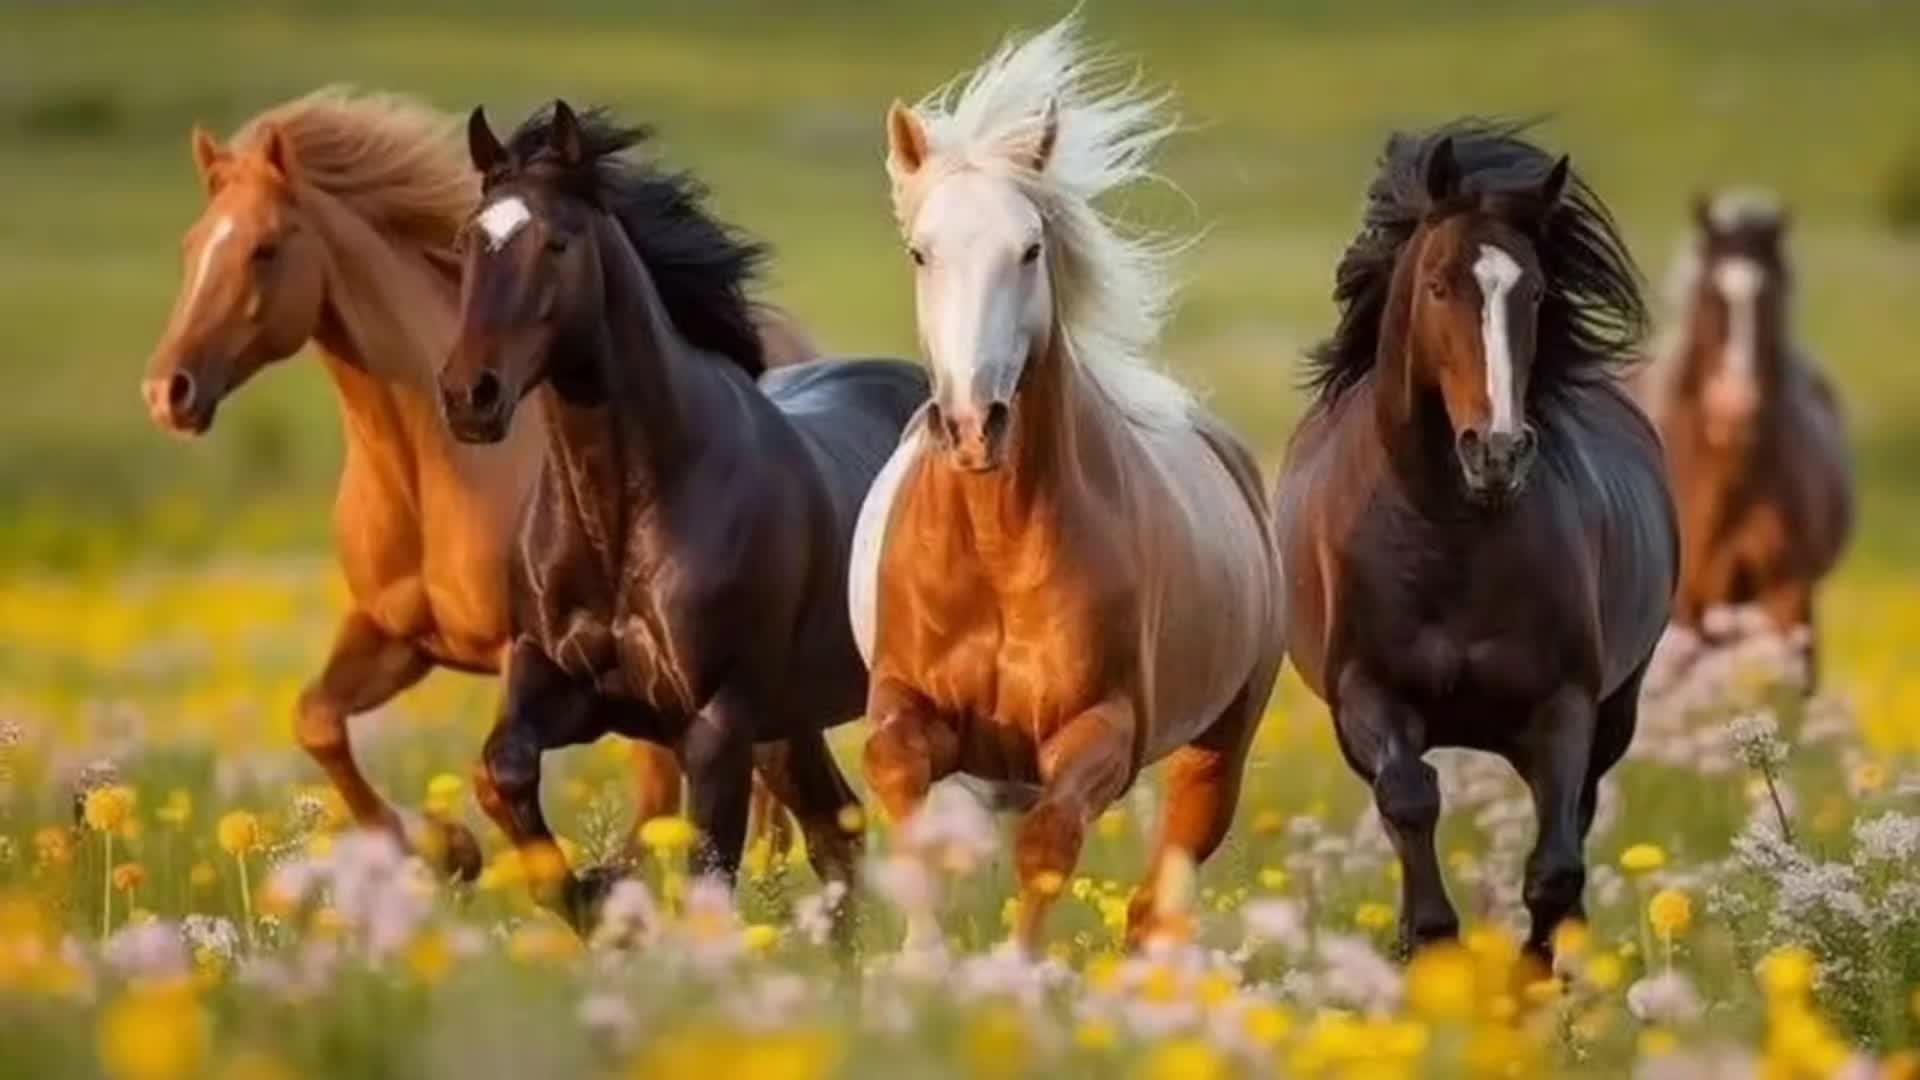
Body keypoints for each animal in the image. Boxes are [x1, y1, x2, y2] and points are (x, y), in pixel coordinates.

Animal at [138, 89, 801, 879]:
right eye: (190, 247)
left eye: (264, 249)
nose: (168, 391)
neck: (429, 472)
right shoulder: (396, 635)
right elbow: (315, 720)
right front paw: (442, 847)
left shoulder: (522, 656)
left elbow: (494, 775)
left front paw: (475, 852)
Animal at [439, 101, 929, 929]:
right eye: (468, 240)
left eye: (557, 243)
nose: (469, 394)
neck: (623, 516)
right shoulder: (564, 683)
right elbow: (500, 771)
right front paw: (593, 893)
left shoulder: (715, 723)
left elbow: (708, 872)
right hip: (789, 722)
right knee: (837, 836)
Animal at [853, 17, 1286, 953]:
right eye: (920, 252)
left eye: (1030, 249)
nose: (973, 424)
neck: (995, 543)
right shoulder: (907, 707)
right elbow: (900, 788)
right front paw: (920, 960)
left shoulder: (1101, 734)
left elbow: (1049, 846)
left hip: (1215, 755)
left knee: (1159, 899)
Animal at [1273, 121, 1677, 964]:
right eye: (1436, 285)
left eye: (1537, 292)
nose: (1496, 451)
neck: (1445, 534)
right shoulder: (1368, 695)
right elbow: (1409, 801)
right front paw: (1429, 942)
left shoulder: (1564, 708)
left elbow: (1554, 866)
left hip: (1617, 710)